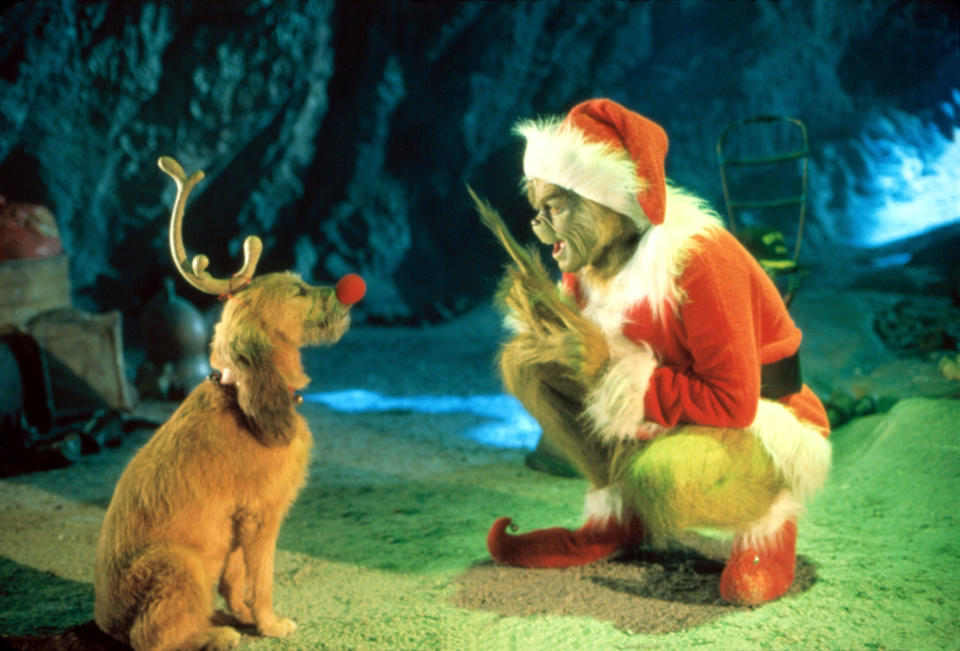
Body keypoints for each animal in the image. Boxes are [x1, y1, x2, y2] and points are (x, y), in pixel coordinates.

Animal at [94, 159, 364, 651]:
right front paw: (269, 624)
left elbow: (237, 580)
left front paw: (243, 614)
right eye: (298, 291)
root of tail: (106, 623)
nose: (346, 290)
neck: (241, 392)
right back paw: (215, 635)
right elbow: (263, 579)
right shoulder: (261, 516)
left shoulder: (238, 525)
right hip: (178, 565)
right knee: (151, 638)